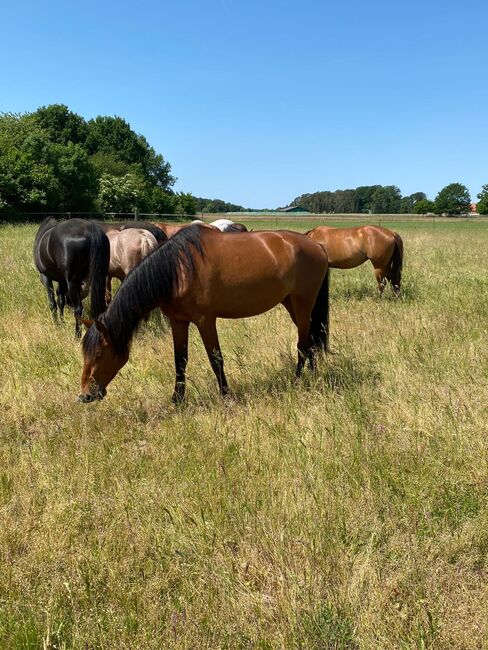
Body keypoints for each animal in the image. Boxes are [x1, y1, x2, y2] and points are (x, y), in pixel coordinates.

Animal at [78, 225, 330, 402]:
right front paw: (177, 400)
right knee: (310, 340)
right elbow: (180, 360)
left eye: (99, 353)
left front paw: (226, 396)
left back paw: (299, 381)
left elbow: (216, 359)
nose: (85, 396)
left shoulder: (205, 321)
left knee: (303, 343)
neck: (177, 270)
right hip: (291, 303)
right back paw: (313, 376)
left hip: (303, 302)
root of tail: (316, 245)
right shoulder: (178, 321)